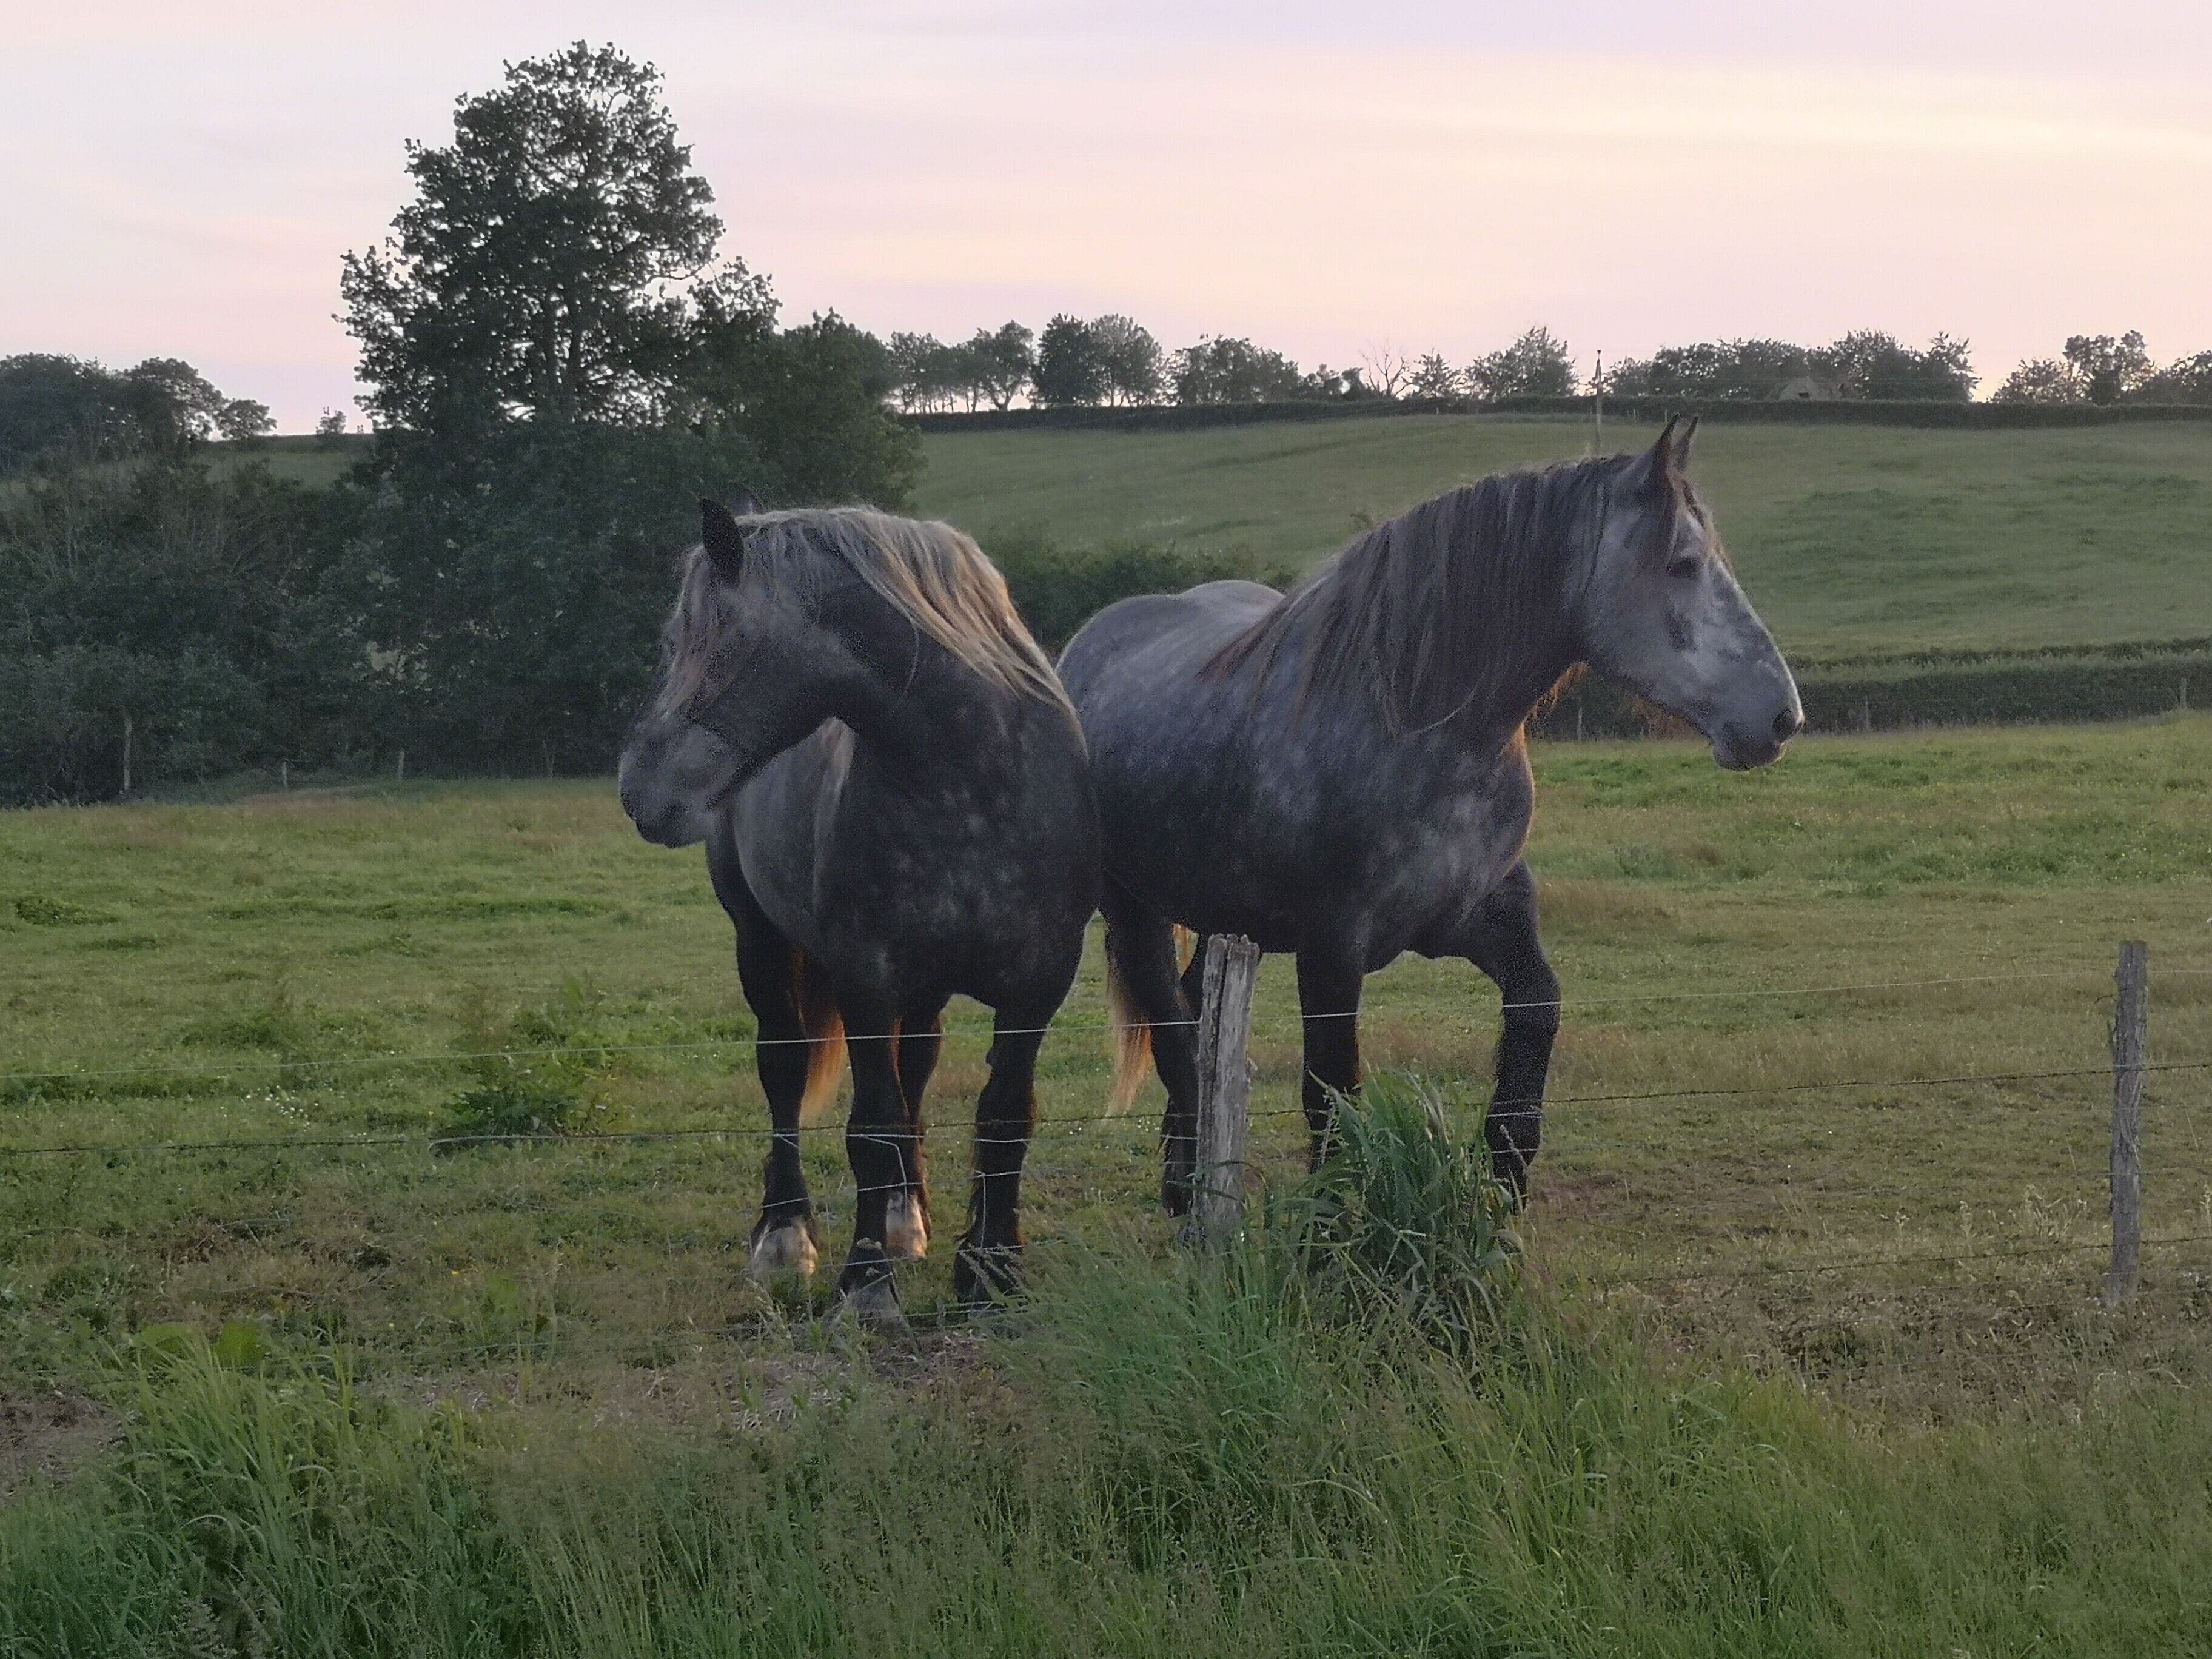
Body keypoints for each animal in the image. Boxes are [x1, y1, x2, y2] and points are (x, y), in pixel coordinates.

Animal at [618, 497, 1098, 1319]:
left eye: (707, 640)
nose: (638, 791)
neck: (971, 778)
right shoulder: (867, 981)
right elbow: (869, 1125)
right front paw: (867, 1286)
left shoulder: (1039, 984)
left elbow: (1005, 1117)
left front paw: (990, 1269)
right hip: (760, 944)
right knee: (783, 1070)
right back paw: (785, 1239)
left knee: (918, 1066)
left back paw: (909, 1218)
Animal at [1057, 418, 1801, 1210]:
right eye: (1683, 563)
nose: (1782, 717)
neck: (1425, 731)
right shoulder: (1332, 950)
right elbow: (1331, 1094)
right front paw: (1335, 1218)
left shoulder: (1482, 916)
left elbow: (1536, 1013)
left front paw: (1505, 1181)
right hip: (1136, 916)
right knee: (1175, 1036)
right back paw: (1187, 1187)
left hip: (1225, 918)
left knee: (1198, 1019)